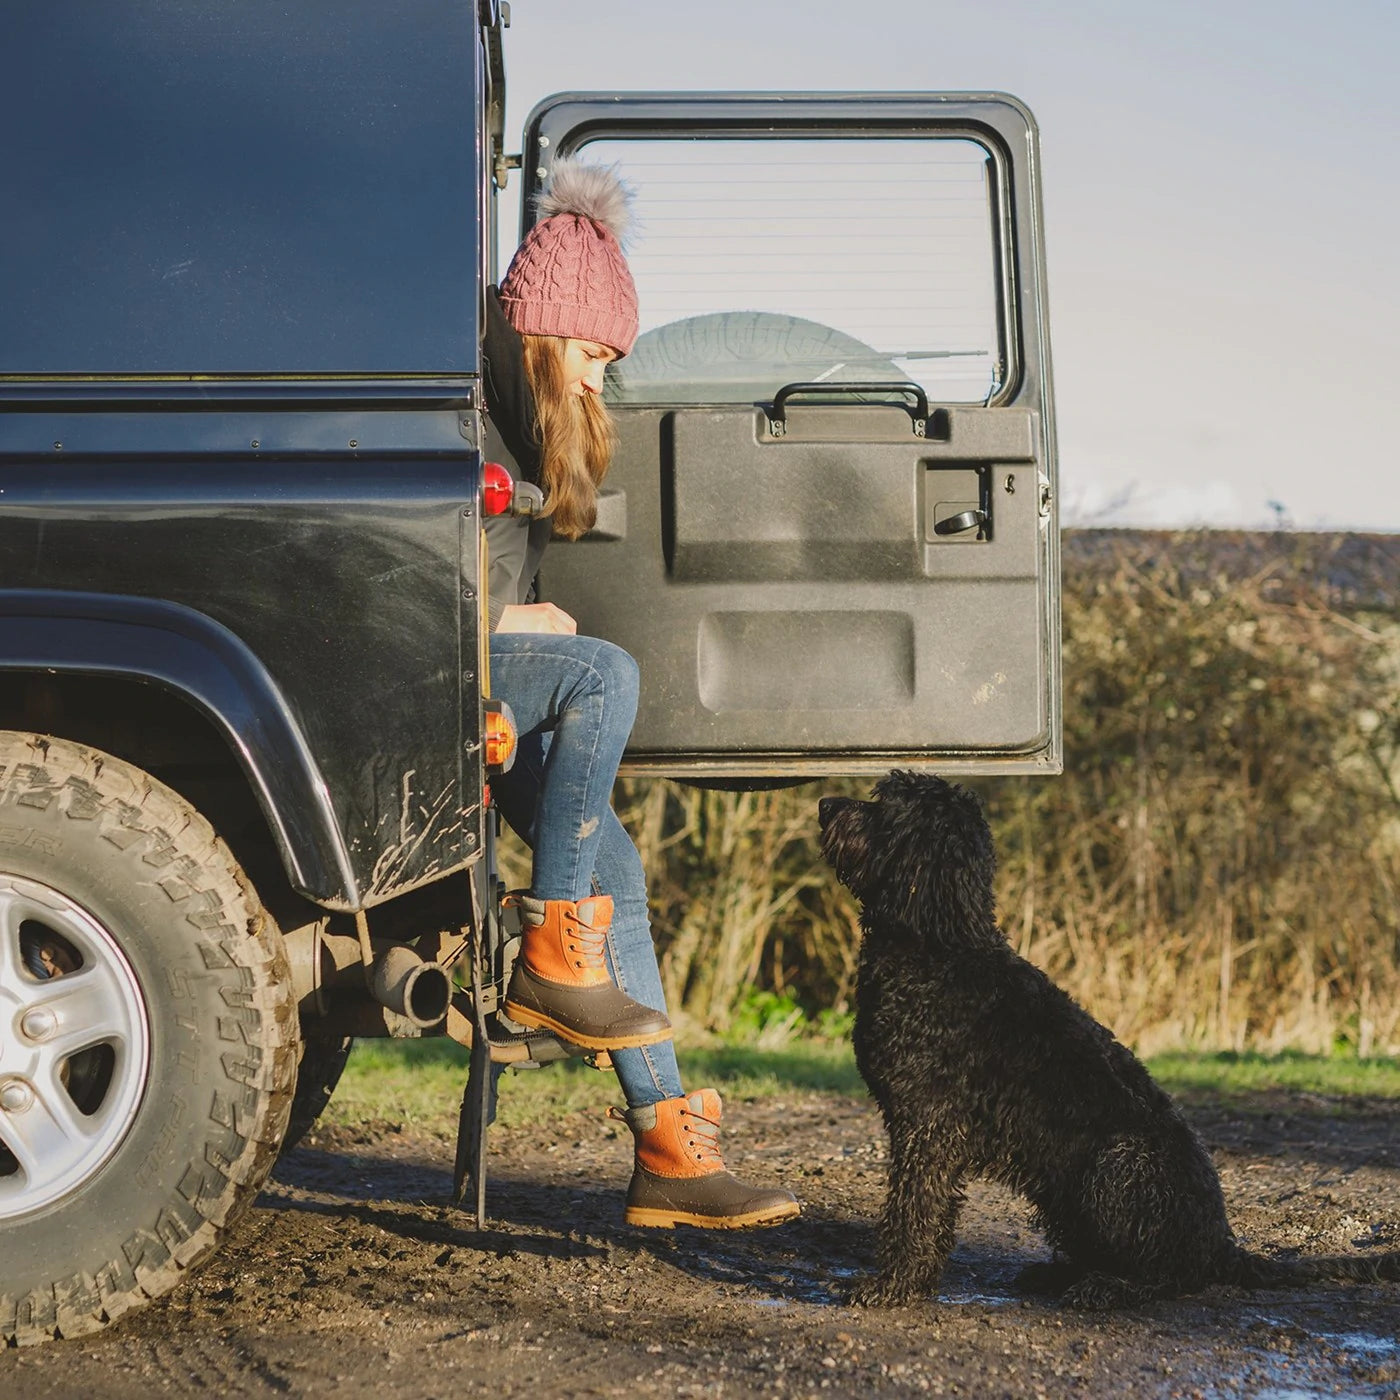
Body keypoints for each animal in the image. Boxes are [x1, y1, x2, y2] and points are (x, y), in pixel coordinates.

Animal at [817, 772, 1394, 1304]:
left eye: (883, 805)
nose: (823, 804)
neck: (937, 947)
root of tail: (1219, 1245)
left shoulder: (930, 1128)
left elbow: (914, 1211)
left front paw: (891, 1286)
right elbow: (928, 1214)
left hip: (1117, 1167)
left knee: (1172, 1278)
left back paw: (1106, 1288)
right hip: (1065, 1195)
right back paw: (1058, 1275)